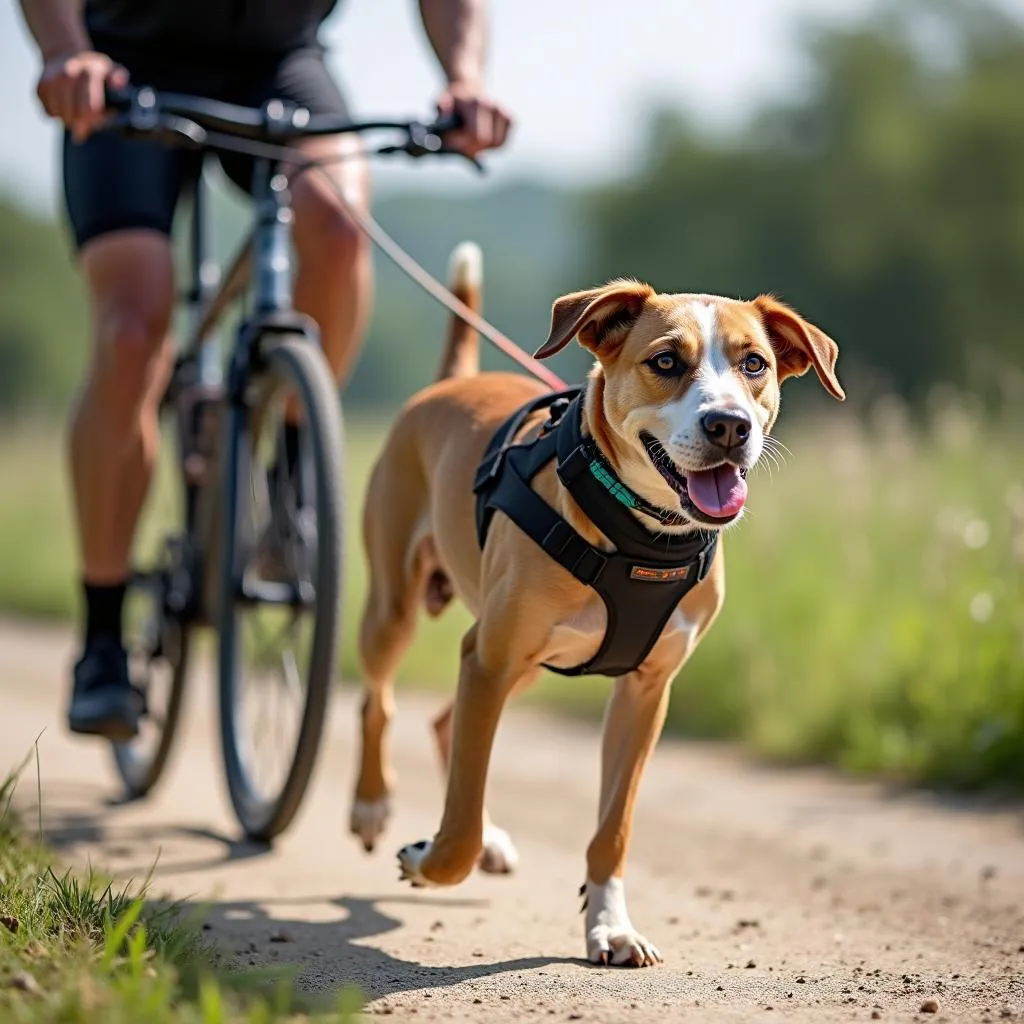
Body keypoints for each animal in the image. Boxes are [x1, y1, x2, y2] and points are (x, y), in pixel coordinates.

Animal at [348, 241, 843, 966]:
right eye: (666, 361)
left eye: (754, 364)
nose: (729, 425)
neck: (638, 533)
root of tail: (447, 385)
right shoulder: (489, 659)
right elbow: (458, 824)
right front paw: (429, 859)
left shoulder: (645, 690)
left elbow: (614, 827)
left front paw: (610, 927)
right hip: (402, 609)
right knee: (377, 702)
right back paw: (373, 807)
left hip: (528, 662)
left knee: (444, 723)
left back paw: (485, 837)